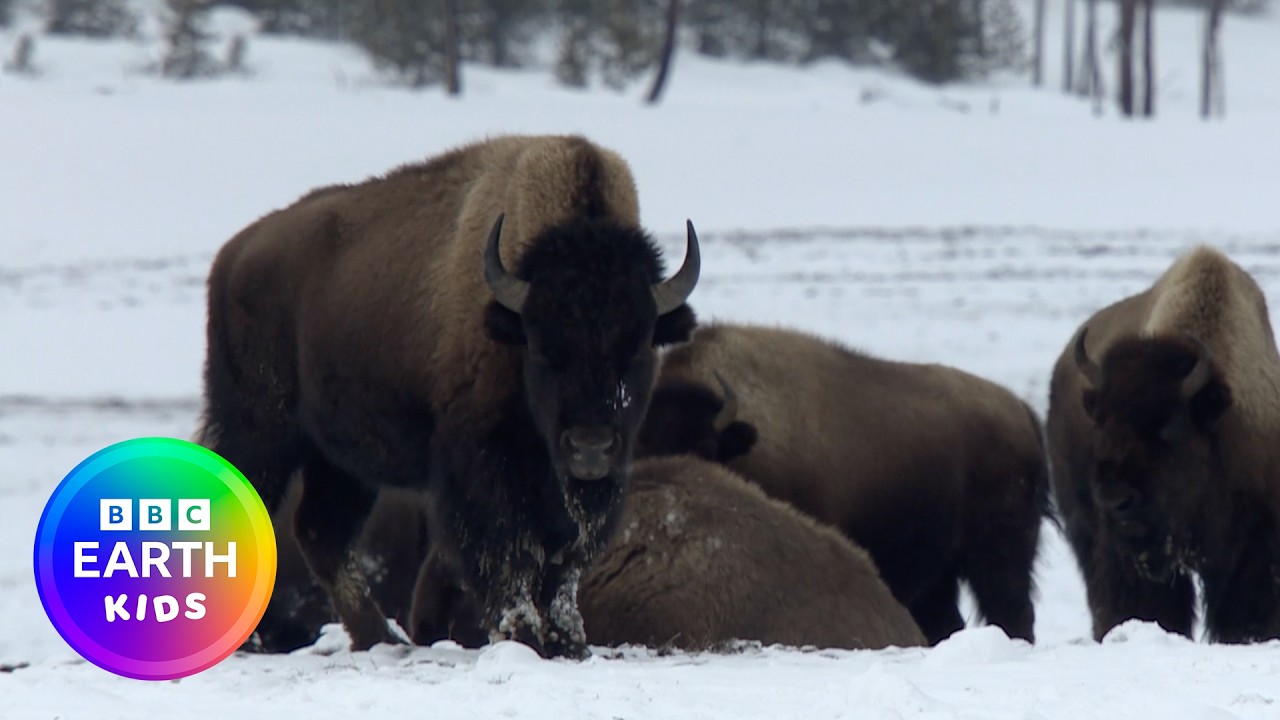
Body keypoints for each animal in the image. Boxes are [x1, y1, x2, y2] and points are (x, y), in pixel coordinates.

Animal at [199, 135, 700, 657]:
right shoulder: (481, 468)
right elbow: (508, 553)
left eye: (638, 344)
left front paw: (568, 640)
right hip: (260, 430)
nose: (590, 448)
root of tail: (232, 256)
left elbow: (563, 563)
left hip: (339, 460)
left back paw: (380, 636)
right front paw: (523, 634)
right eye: (543, 347)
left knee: (322, 533)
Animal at [646, 323, 1051, 644]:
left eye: (706, 448)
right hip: (940, 573)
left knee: (1012, 612)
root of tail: (1021, 411)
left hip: (999, 556)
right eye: (638, 447)